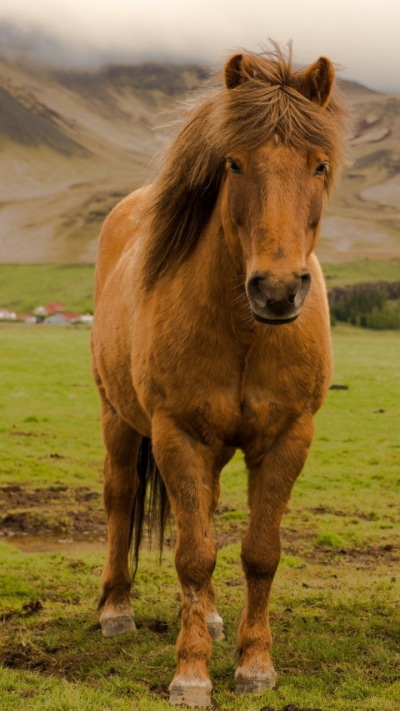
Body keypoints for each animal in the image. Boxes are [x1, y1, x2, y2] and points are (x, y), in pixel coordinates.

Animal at [91, 45, 348, 707]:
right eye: (234, 163)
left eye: (319, 165)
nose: (278, 290)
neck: (246, 334)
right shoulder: (177, 433)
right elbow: (192, 555)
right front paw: (191, 675)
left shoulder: (287, 438)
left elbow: (258, 552)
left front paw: (255, 666)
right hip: (119, 417)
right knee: (121, 498)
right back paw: (116, 610)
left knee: (202, 509)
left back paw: (205, 616)